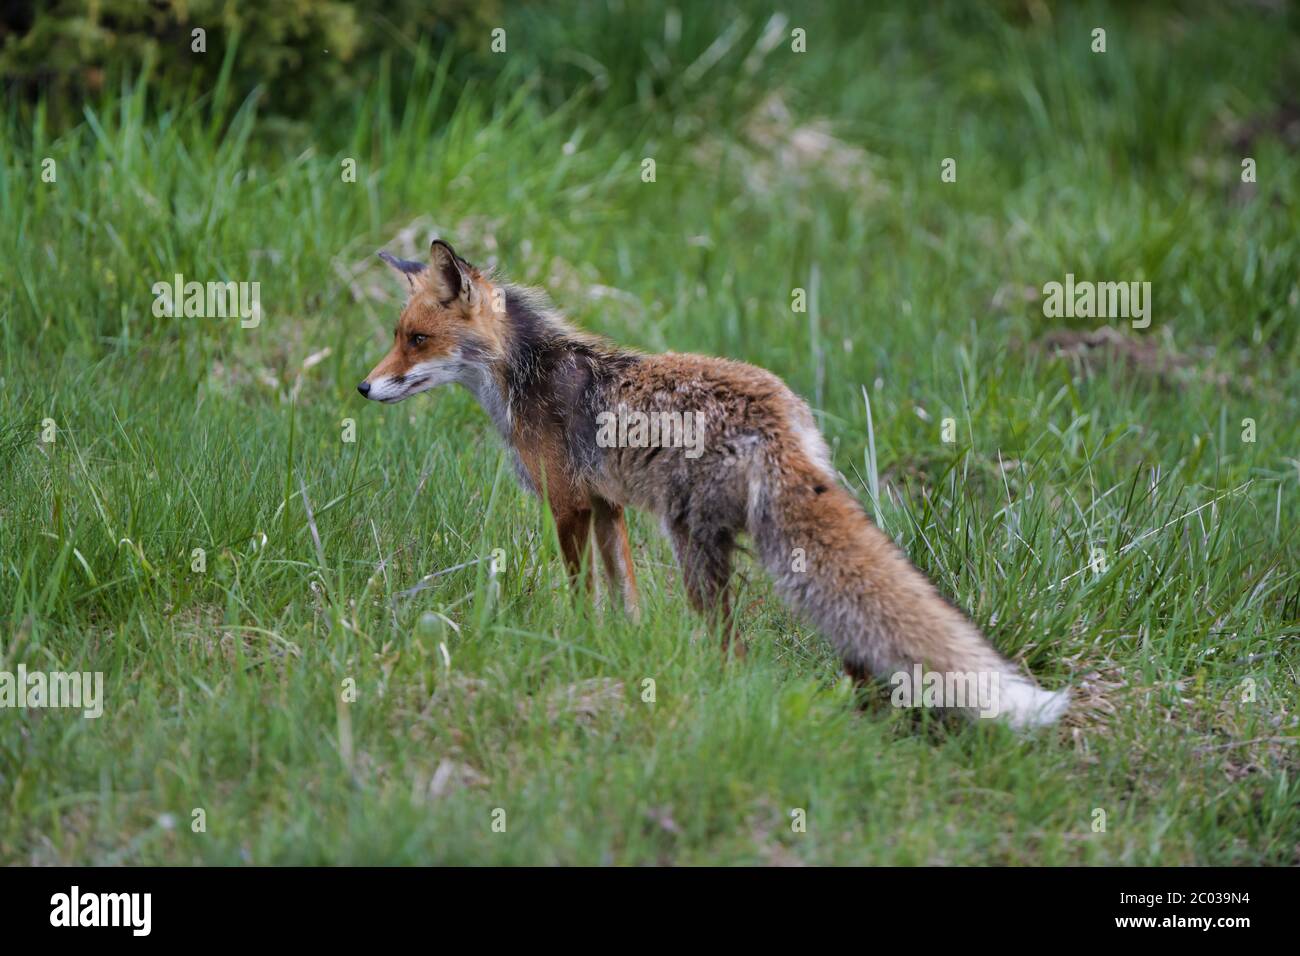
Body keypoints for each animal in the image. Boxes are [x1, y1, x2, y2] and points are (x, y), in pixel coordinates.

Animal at [360, 239, 1069, 729]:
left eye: (417, 339)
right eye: (397, 336)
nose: (364, 388)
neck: (528, 376)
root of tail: (780, 417)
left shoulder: (568, 505)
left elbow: (582, 593)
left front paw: (577, 644)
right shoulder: (608, 506)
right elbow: (626, 597)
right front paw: (624, 649)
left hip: (691, 543)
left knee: (736, 646)